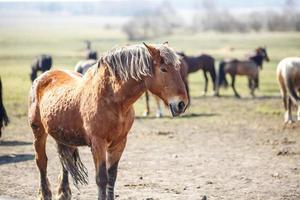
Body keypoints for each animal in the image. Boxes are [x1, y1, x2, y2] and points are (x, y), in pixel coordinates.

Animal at [28, 42, 188, 200]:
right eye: (163, 69)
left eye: (178, 68)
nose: (182, 104)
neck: (112, 99)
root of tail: (42, 77)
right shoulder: (98, 143)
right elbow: (101, 178)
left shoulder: (119, 142)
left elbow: (112, 177)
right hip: (38, 131)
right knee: (41, 161)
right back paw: (45, 194)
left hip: (65, 136)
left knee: (65, 162)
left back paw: (63, 193)